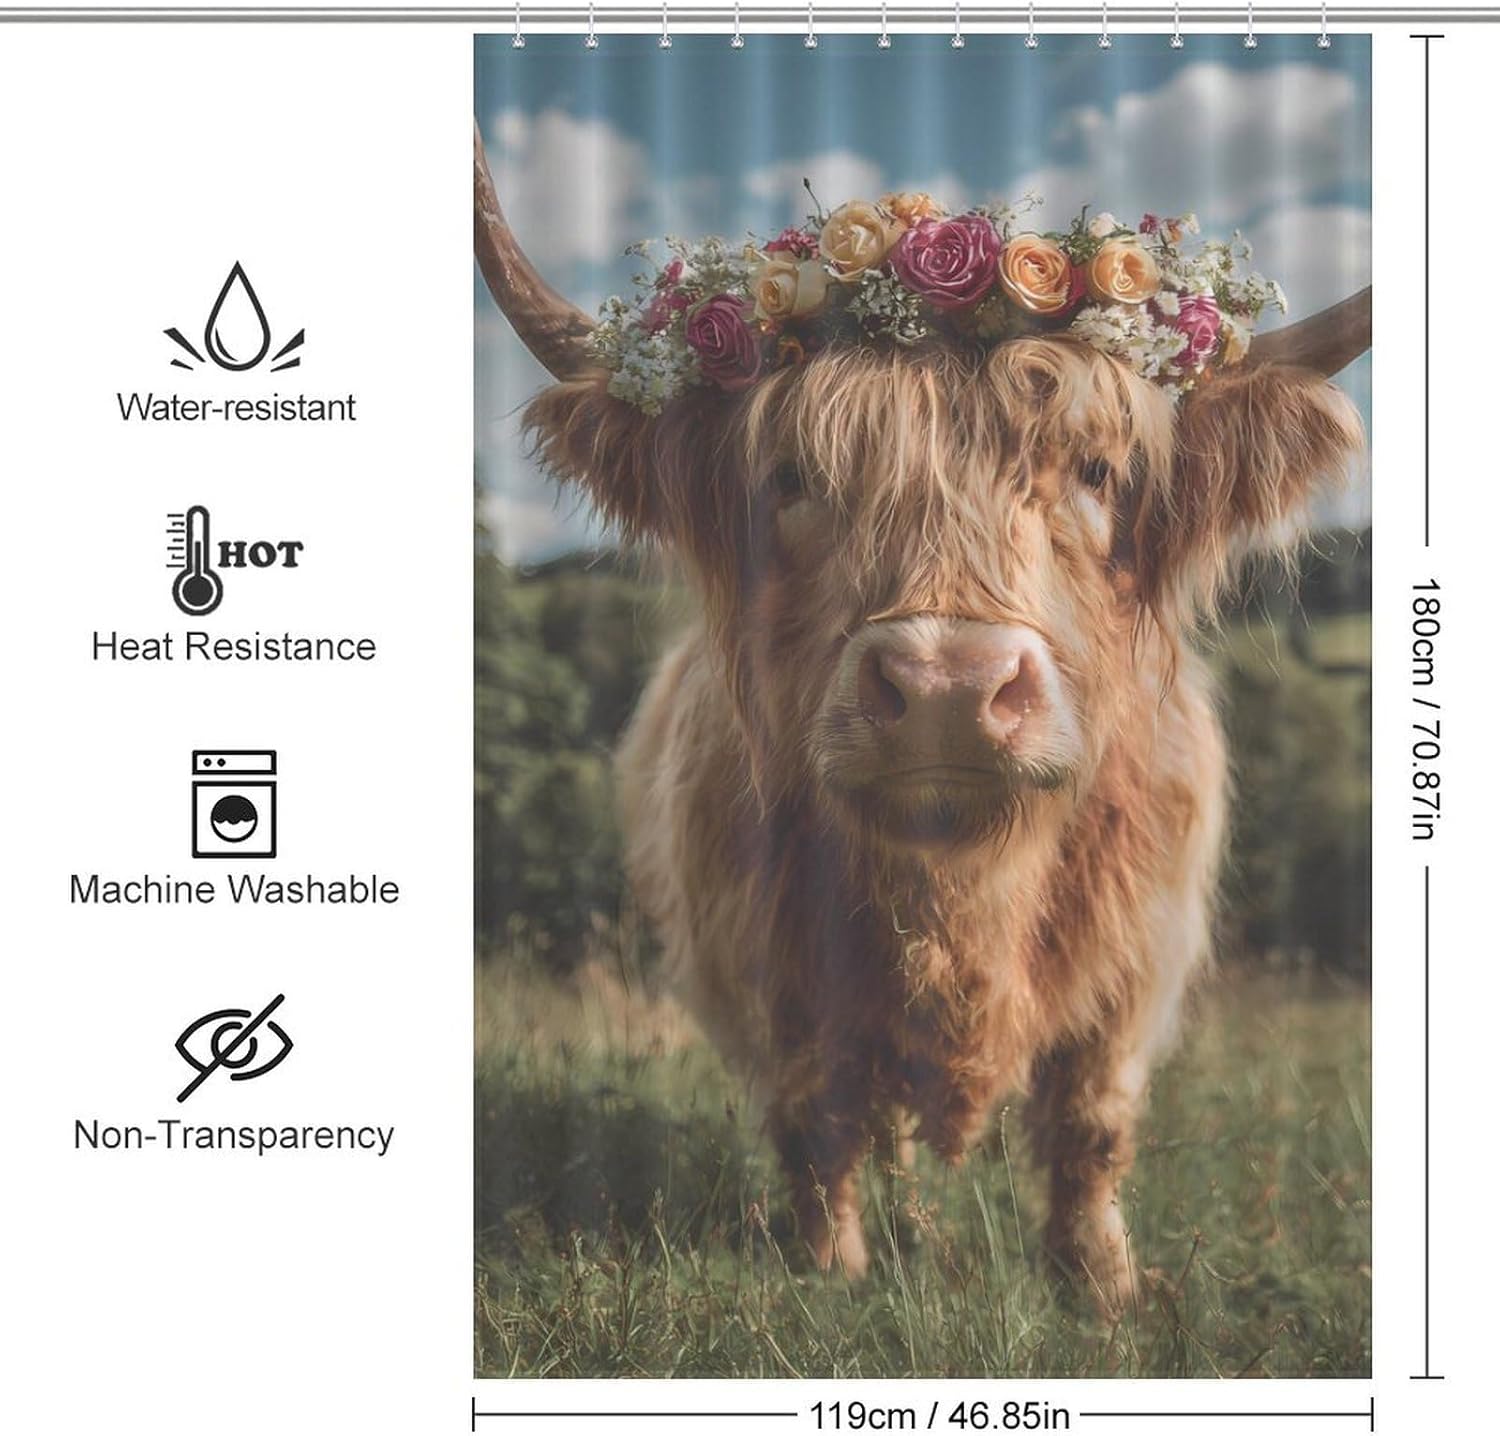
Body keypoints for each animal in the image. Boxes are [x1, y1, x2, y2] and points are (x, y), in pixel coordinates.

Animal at [475, 131, 1370, 1313]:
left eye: (1096, 469)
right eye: (791, 478)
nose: (948, 684)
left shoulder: (1139, 957)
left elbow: (1092, 1122)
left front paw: (1101, 1284)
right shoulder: (770, 961)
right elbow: (815, 1112)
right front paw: (829, 1268)